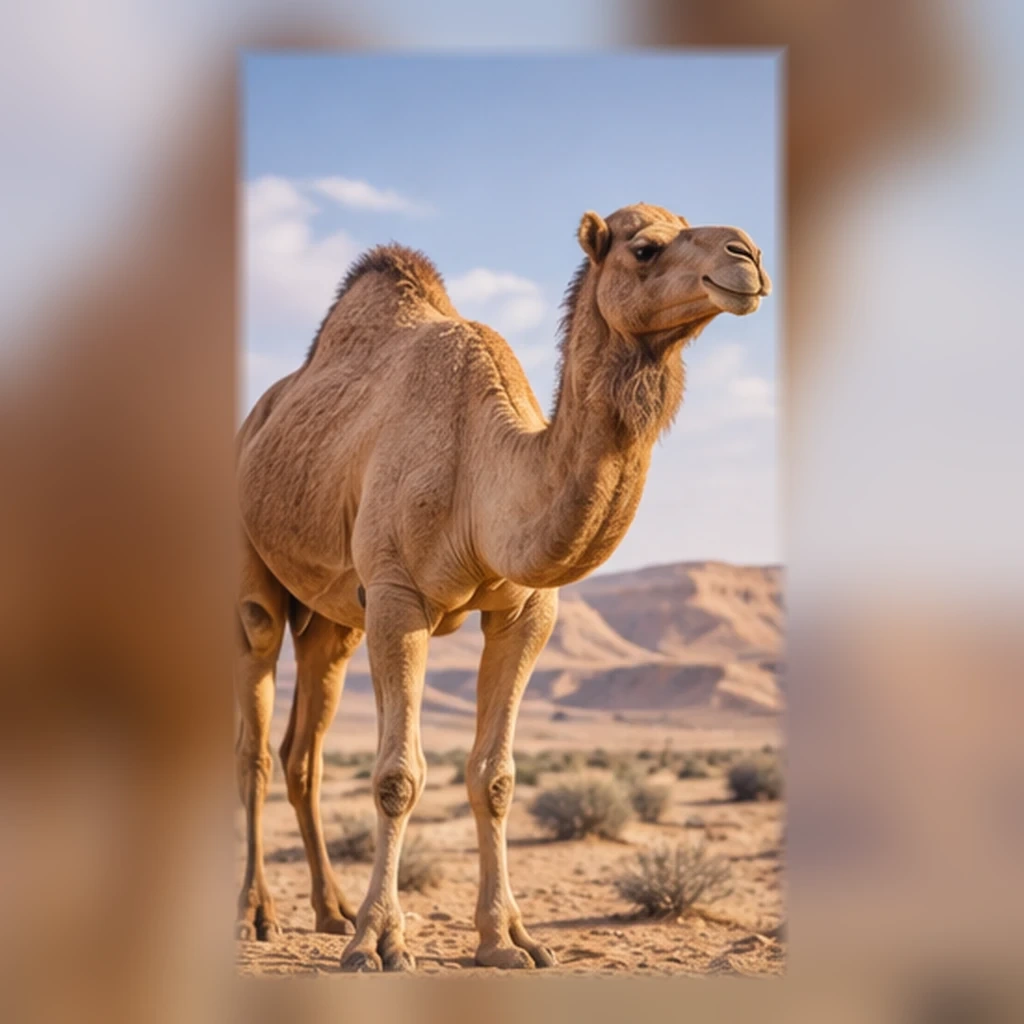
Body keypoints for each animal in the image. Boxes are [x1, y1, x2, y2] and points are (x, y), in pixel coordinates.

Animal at [234, 203, 770, 970]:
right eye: (644, 248)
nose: (747, 256)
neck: (479, 473)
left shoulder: (525, 610)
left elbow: (495, 777)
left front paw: (508, 939)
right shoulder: (396, 595)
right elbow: (397, 777)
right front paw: (380, 941)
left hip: (333, 620)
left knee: (302, 752)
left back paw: (330, 910)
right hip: (254, 572)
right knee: (254, 741)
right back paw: (259, 915)